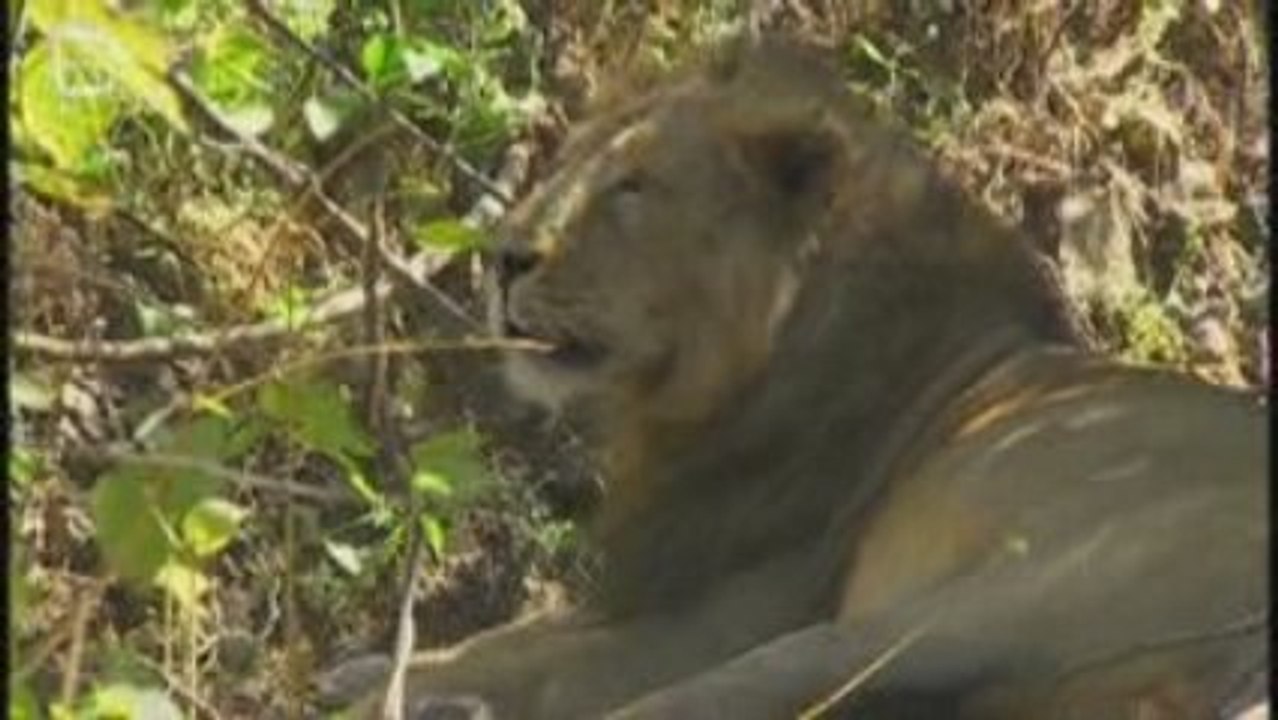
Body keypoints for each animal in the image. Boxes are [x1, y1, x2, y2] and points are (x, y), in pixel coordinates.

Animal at [351, 38, 1267, 719]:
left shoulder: (738, 605)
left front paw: (379, 685)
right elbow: (514, 637)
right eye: (566, 164)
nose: (503, 257)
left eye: (633, 188)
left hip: (971, 602)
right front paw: (374, 668)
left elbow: (546, 661)